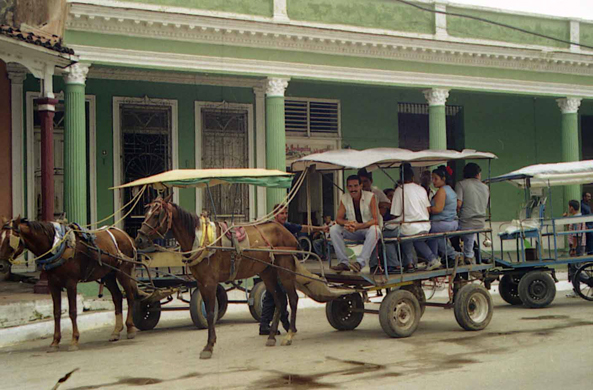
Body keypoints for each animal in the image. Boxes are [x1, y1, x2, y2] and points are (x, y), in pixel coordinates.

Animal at [0, 218, 140, 352]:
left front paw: (74, 341)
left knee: (130, 297)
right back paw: (116, 331)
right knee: (117, 297)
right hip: (108, 275)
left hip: (123, 272)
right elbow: (56, 312)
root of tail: (126, 235)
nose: (1, 265)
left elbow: (73, 311)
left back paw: (130, 328)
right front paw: (55, 342)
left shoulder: (71, 283)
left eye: (9, 240)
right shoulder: (53, 285)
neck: (57, 246)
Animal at [135, 197, 300, 358]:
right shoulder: (201, 282)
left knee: (292, 298)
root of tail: (285, 231)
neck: (202, 240)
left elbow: (210, 312)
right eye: (145, 214)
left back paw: (290, 334)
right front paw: (210, 343)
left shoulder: (209, 282)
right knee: (280, 299)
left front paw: (208, 346)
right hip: (267, 271)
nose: (139, 239)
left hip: (284, 268)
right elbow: (209, 311)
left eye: (156, 215)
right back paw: (271, 336)